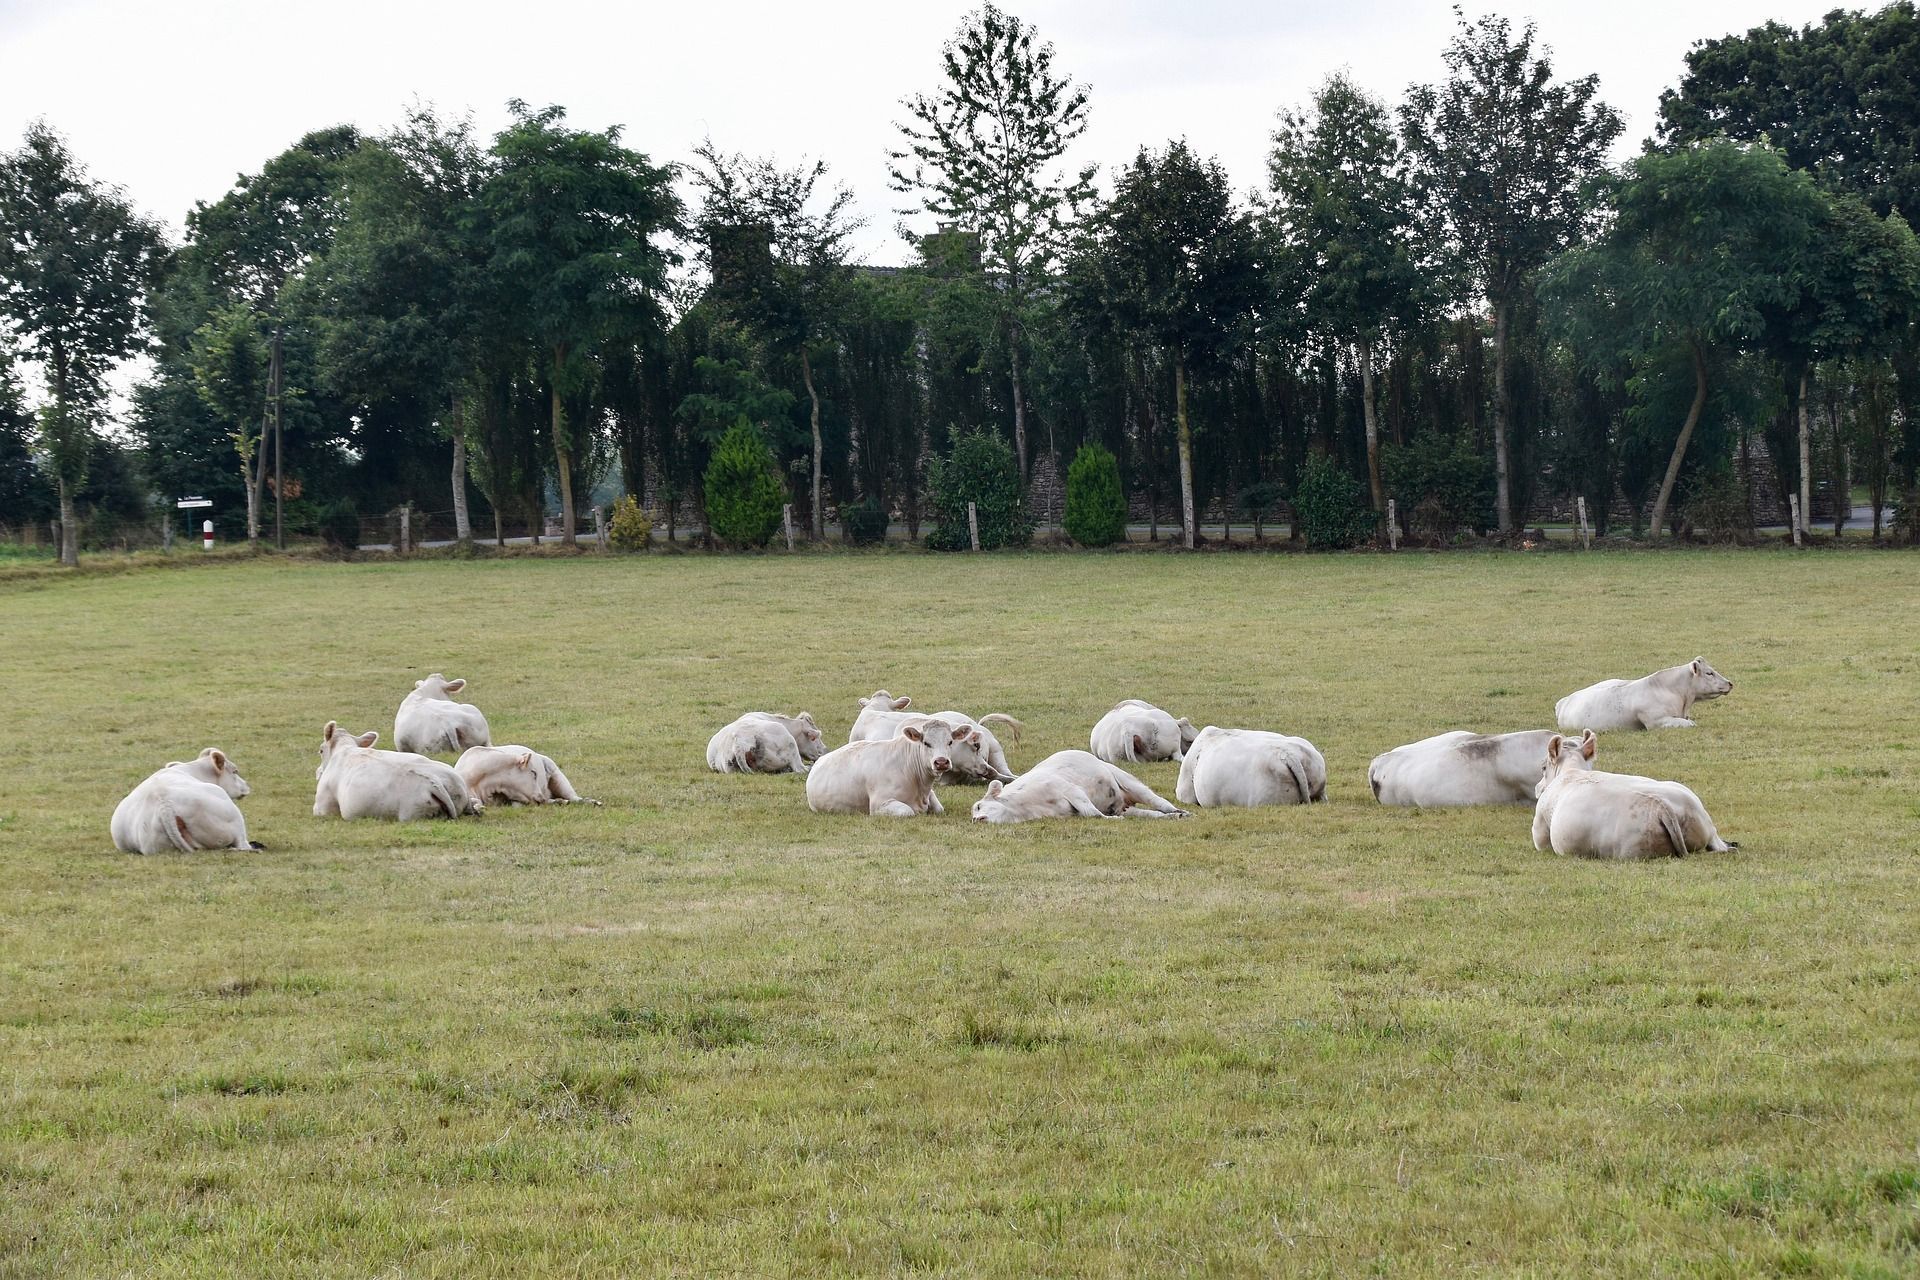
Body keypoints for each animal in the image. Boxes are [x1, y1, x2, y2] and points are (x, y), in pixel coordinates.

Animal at [314, 721, 481, 821]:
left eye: (321, 750)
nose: (318, 773)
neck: (345, 749)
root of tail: (434, 782)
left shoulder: (322, 807)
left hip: (412, 814)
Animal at [806, 720, 966, 816]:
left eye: (950, 742)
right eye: (926, 743)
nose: (941, 762)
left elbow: (939, 809)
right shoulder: (879, 804)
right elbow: (907, 811)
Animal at [970, 750, 1190, 824]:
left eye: (979, 806)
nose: (975, 819)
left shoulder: (1071, 790)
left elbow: (1092, 813)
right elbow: (1090, 814)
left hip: (1127, 780)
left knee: (1158, 801)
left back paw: (1179, 811)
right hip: (1126, 807)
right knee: (1152, 814)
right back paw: (1173, 816)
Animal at [1531, 730, 1733, 859]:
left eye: (1543, 768)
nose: (1537, 788)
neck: (1572, 771)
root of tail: (1661, 806)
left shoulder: (1540, 830)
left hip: (1632, 851)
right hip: (1708, 827)